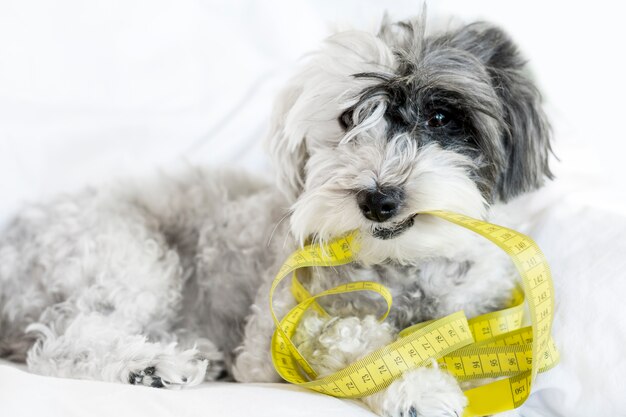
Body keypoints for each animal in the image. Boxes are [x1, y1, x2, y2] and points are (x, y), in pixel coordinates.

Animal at [0, 13, 548, 416]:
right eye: (349, 118)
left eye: (439, 116)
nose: (378, 199)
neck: (402, 266)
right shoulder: (276, 339)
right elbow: (358, 337)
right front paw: (416, 386)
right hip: (130, 258)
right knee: (65, 340)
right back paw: (150, 364)